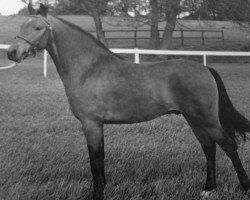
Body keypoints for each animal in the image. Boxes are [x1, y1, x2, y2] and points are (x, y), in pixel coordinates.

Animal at [6, 3, 249, 200]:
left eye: (38, 28)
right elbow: (100, 157)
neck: (88, 69)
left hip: (207, 120)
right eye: (21, 27)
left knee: (229, 145)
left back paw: (244, 186)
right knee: (209, 148)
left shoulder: (91, 124)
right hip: (194, 119)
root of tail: (205, 68)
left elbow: (95, 161)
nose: (12, 52)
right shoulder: (97, 125)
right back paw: (208, 188)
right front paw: (103, 187)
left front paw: (97, 194)